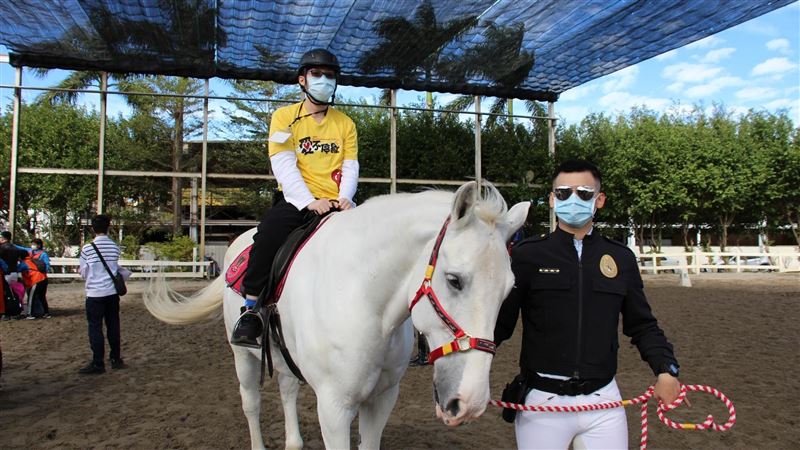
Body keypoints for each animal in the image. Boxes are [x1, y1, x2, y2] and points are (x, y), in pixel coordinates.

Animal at [144, 181, 530, 449]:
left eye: (509, 290)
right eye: (453, 280)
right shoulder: (334, 407)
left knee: (286, 388)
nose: (469, 402)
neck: (365, 301)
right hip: (243, 355)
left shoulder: (381, 400)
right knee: (250, 403)